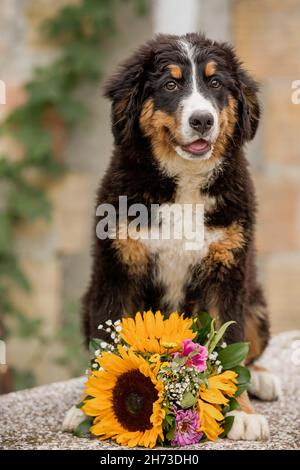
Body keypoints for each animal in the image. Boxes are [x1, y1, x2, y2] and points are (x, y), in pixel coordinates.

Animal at [63, 34, 282, 440]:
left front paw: (241, 412)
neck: (184, 182)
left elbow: (230, 346)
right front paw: (87, 407)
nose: (202, 120)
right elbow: (107, 349)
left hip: (255, 301)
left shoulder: (227, 272)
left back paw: (261, 379)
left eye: (215, 83)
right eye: (170, 85)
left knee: (252, 347)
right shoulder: (117, 269)